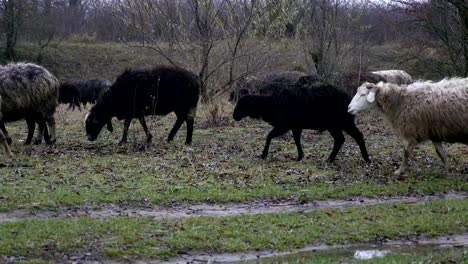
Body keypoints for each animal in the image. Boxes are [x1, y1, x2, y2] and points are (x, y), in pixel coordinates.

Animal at [232, 83, 372, 163]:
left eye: (241, 104)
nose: (234, 116)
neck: (271, 104)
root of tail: (349, 99)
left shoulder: (284, 125)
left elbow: (269, 136)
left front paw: (263, 154)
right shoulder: (295, 126)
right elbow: (297, 140)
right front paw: (300, 156)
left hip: (344, 122)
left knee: (357, 136)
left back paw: (367, 159)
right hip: (334, 125)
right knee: (340, 139)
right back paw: (330, 159)